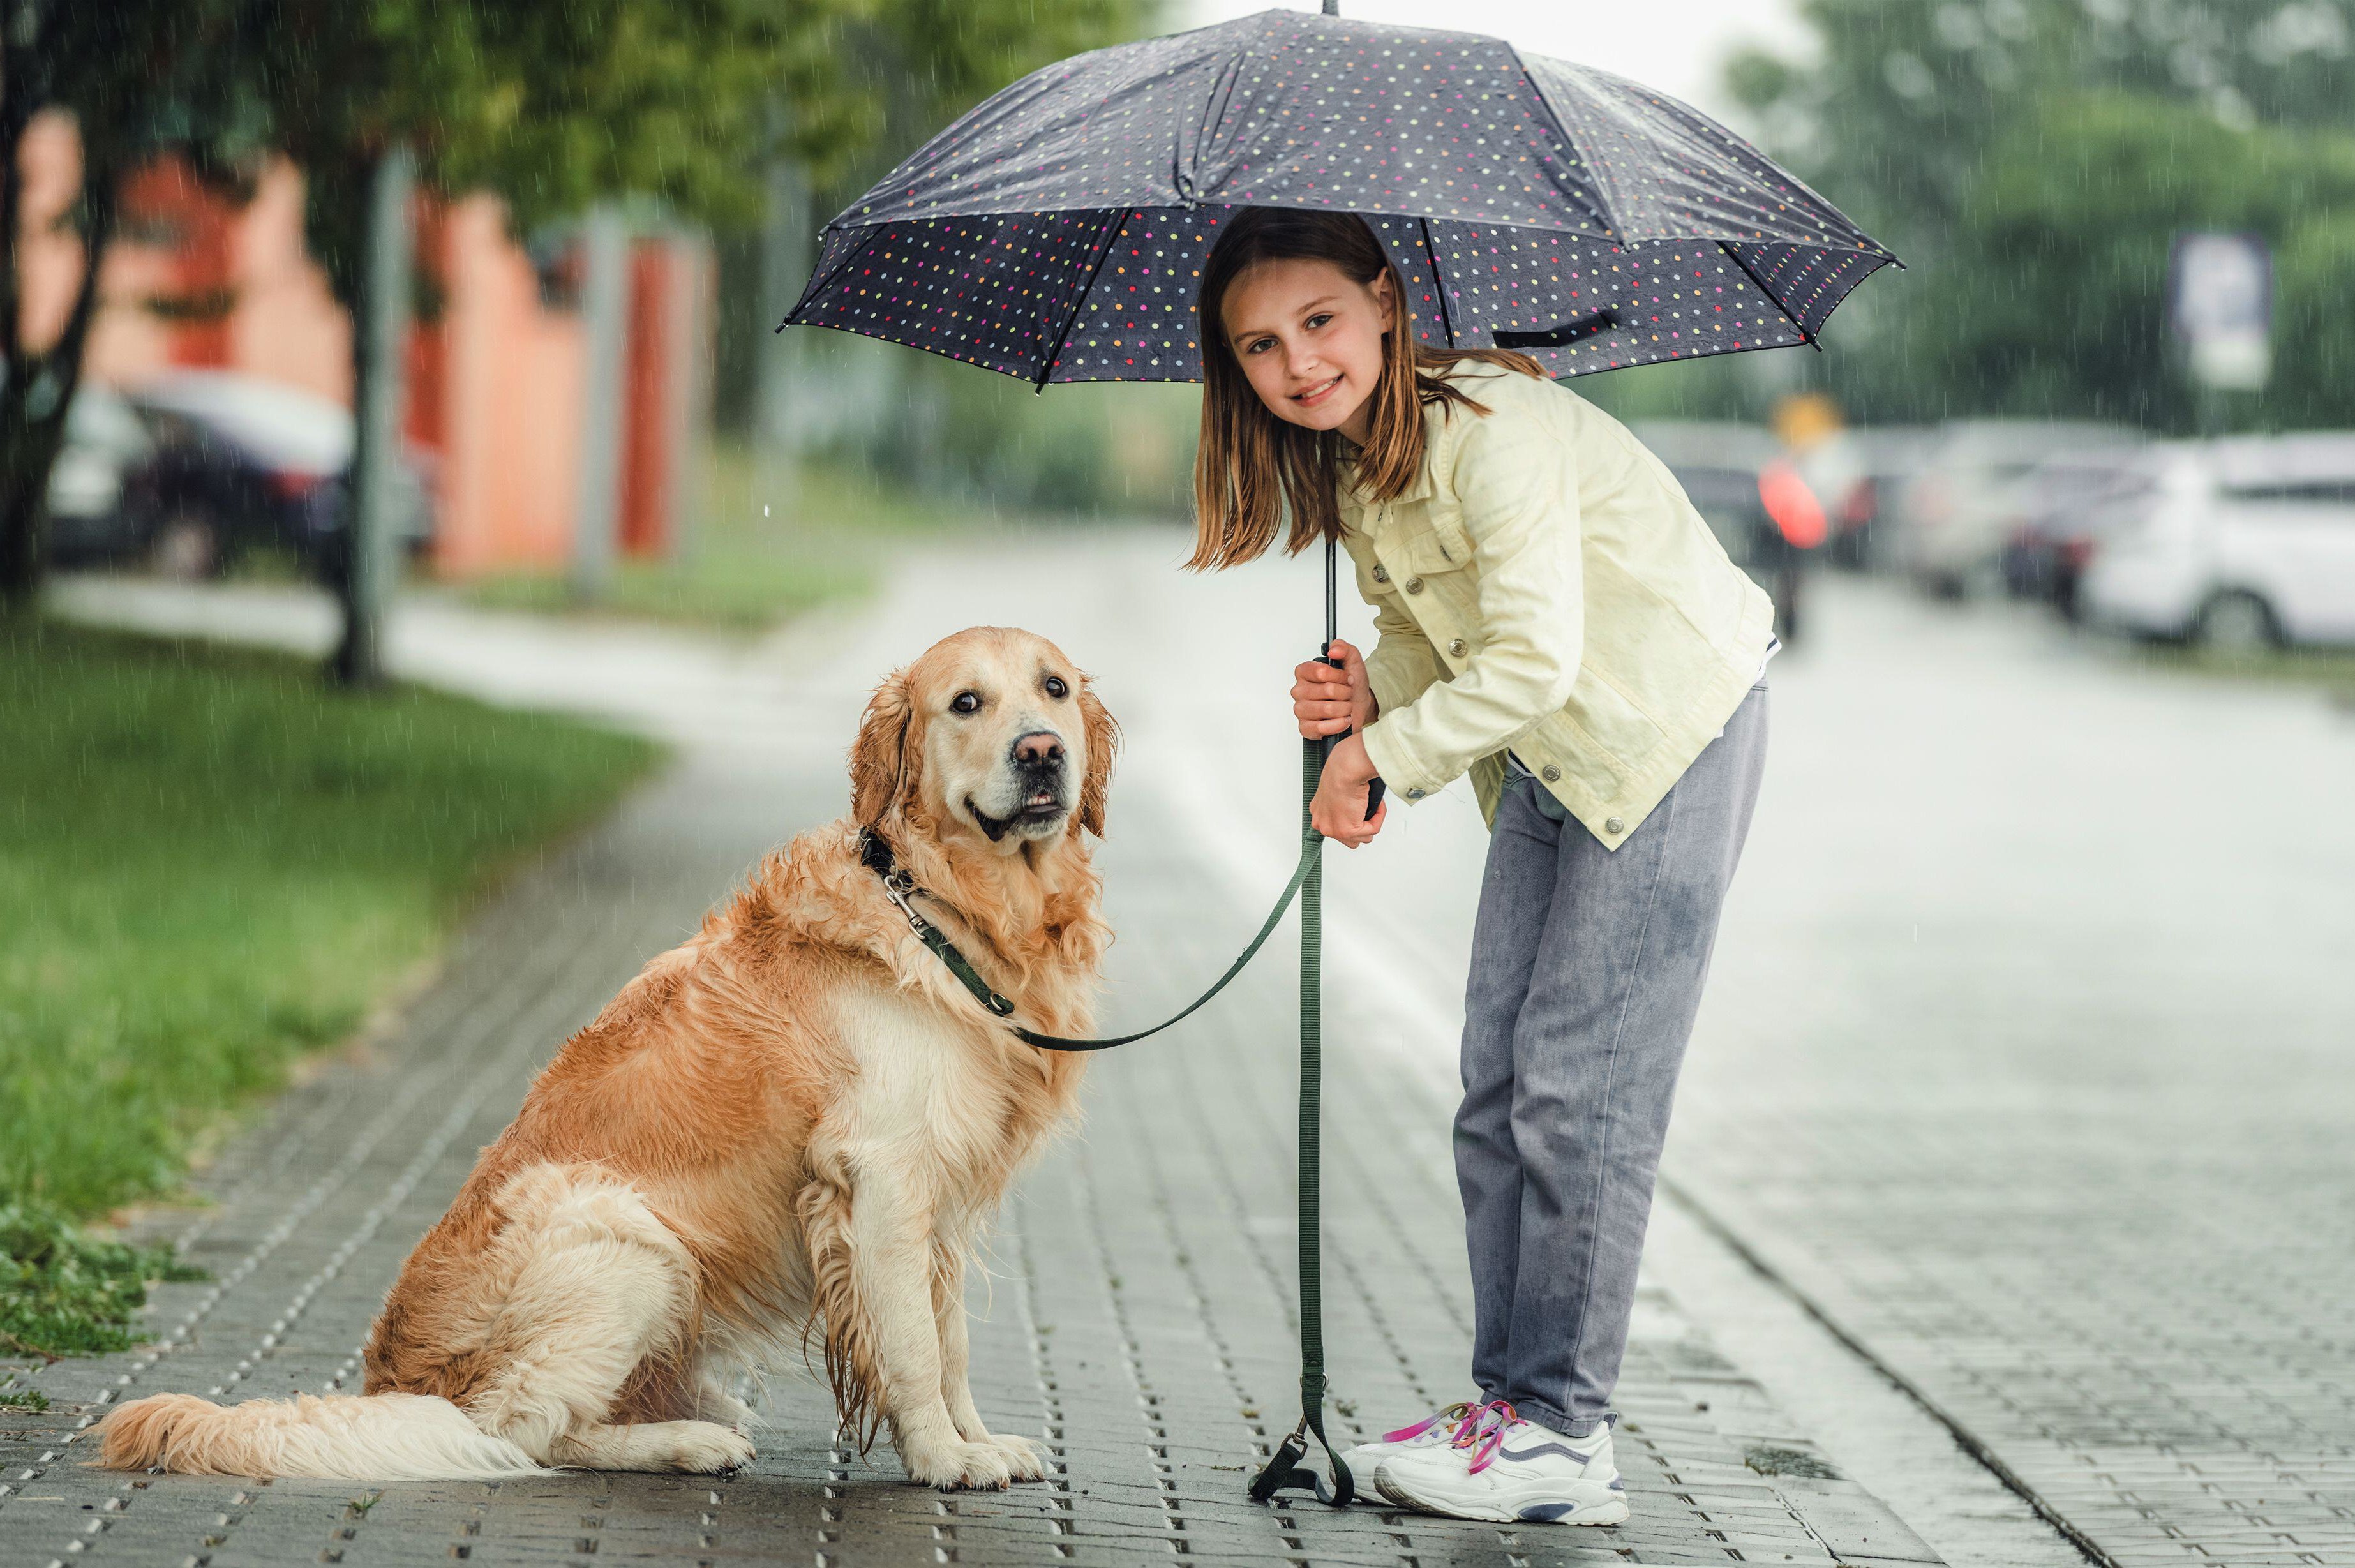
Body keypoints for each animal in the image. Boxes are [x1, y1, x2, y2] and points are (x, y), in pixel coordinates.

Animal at [98, 616, 1111, 1488]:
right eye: (966, 703)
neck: (948, 910)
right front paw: (943, 1458)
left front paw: (978, 1439)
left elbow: (951, 1340)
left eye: (1053, 688)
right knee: (524, 1432)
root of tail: (397, 1384)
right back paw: (688, 1441)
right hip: (628, 1236)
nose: (1041, 752)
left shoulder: (941, 1194)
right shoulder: (882, 1176)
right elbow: (910, 1345)